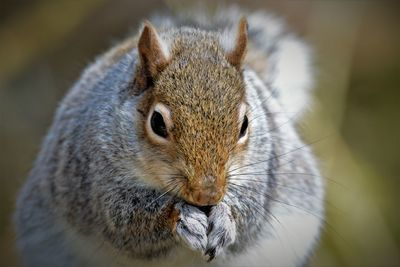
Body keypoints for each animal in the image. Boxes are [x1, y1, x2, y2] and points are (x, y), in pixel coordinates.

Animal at [14, 6, 324, 267]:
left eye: (245, 124)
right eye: (157, 123)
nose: (208, 195)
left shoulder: (265, 167)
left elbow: (251, 210)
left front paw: (225, 219)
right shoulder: (99, 175)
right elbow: (127, 222)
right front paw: (181, 217)